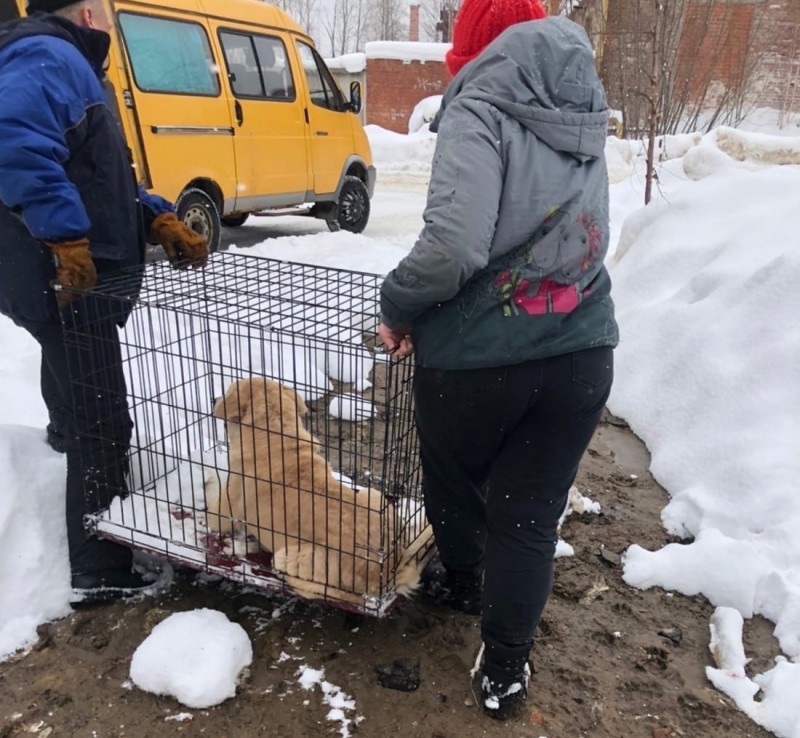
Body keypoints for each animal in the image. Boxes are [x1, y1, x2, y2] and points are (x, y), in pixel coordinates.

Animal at [205, 376, 418, 596]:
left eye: (228, 390)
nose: (213, 398)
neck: (275, 433)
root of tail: (386, 571)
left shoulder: (223, 511)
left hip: (289, 556)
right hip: (372, 494)